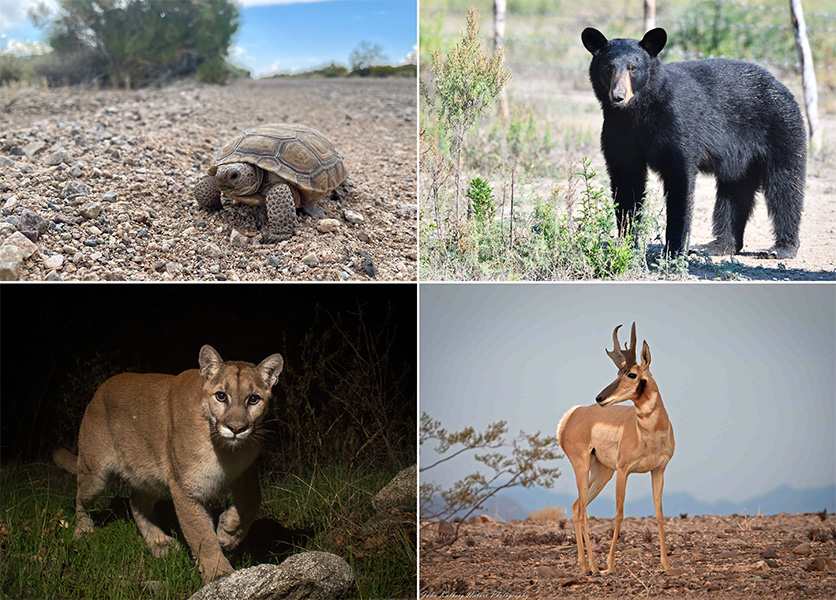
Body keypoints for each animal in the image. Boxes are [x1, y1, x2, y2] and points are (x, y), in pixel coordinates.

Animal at [55, 344, 286, 584]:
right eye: (221, 396)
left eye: (253, 399)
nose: (236, 428)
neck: (226, 451)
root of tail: (98, 391)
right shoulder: (185, 487)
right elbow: (201, 534)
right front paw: (219, 574)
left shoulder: (245, 471)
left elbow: (252, 501)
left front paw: (228, 533)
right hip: (95, 474)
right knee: (80, 498)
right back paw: (83, 531)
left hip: (151, 476)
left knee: (136, 502)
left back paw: (160, 543)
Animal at [580, 28, 804, 258]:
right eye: (609, 67)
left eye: (633, 68)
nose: (618, 97)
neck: (636, 113)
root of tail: (781, 85)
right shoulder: (617, 132)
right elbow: (626, 184)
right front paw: (626, 246)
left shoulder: (676, 124)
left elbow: (679, 181)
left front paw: (674, 251)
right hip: (741, 158)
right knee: (734, 191)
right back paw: (719, 245)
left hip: (781, 127)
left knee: (784, 184)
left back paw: (781, 248)